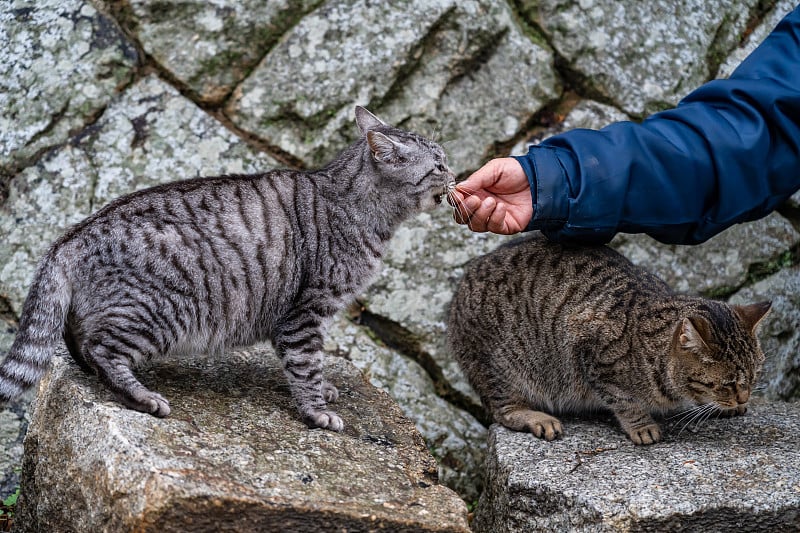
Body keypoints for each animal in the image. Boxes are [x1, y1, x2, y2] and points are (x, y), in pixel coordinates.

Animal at [0, 106, 456, 430]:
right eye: (438, 165)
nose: (455, 173)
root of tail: (68, 237)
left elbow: (307, 363)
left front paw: (323, 389)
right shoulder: (306, 311)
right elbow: (305, 363)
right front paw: (316, 411)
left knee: (80, 348)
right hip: (160, 310)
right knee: (101, 350)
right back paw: (143, 397)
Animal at [446, 234, 772, 444]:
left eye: (755, 375)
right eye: (727, 383)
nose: (744, 397)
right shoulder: (591, 354)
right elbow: (623, 400)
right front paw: (642, 425)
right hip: (501, 368)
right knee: (503, 410)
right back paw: (537, 418)